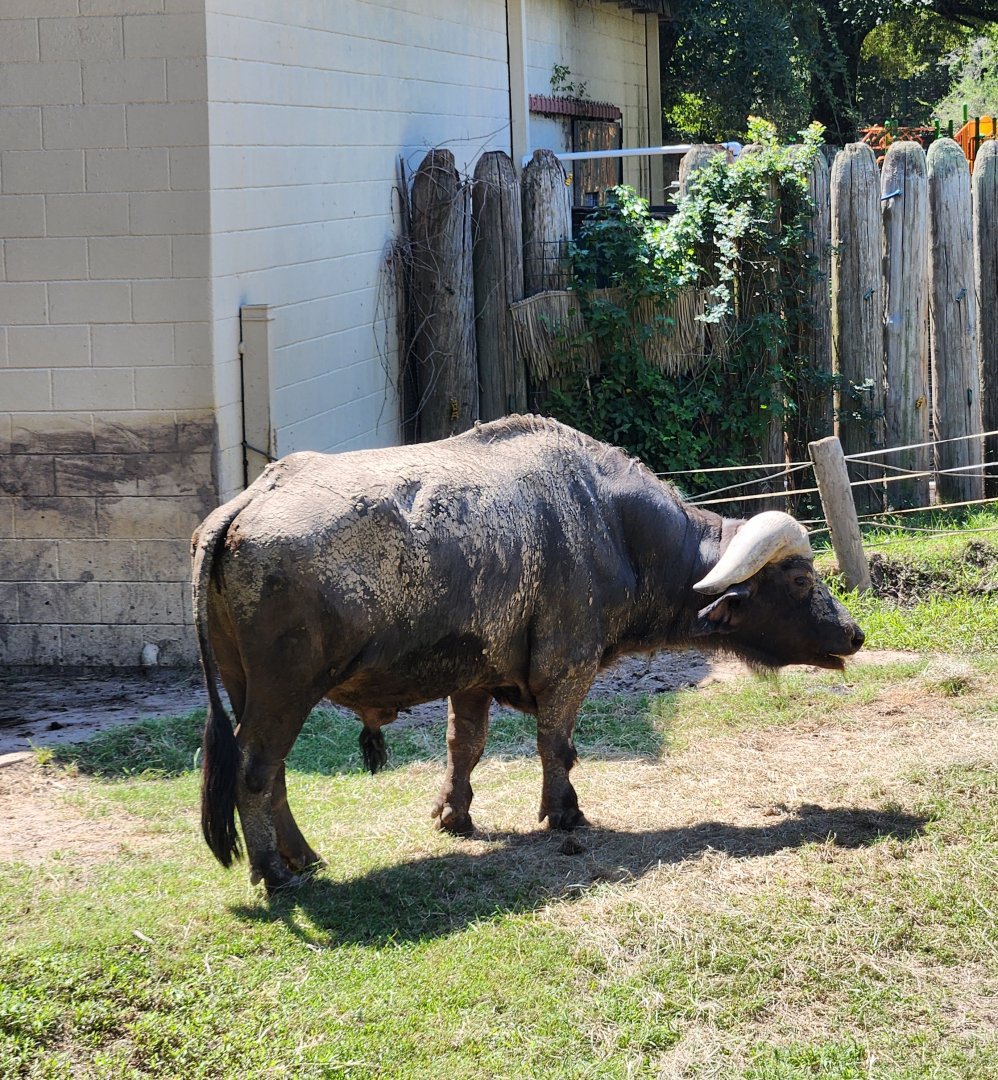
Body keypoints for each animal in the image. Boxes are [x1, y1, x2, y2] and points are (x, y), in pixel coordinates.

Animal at [193, 415, 863, 891]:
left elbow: (464, 749)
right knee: (255, 769)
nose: (854, 634)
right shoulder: (568, 668)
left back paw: (302, 856)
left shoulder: (470, 678)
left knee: (274, 770)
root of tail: (245, 504)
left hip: (250, 688)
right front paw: (564, 812)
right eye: (800, 580)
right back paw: (273, 872)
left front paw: (455, 816)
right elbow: (557, 746)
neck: (612, 524)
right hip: (285, 691)